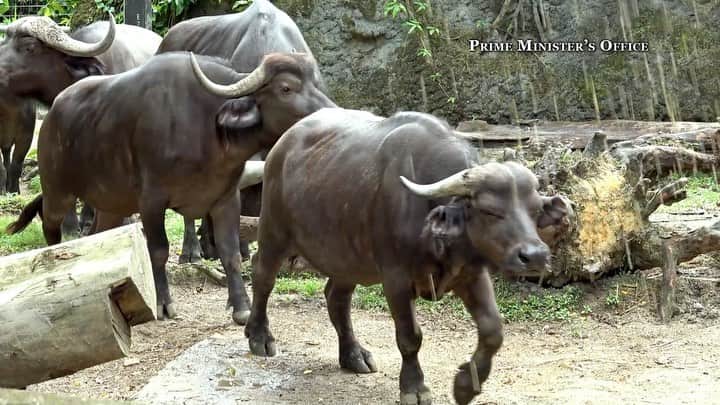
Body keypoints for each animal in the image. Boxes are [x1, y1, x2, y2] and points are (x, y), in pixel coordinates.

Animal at [6, 51, 336, 323]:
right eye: (286, 88)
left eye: (316, 82)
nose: (329, 112)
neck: (209, 128)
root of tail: (52, 114)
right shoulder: (152, 201)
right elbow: (158, 251)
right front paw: (163, 304)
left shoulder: (226, 199)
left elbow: (229, 252)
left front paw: (241, 307)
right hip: (58, 191)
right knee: (51, 226)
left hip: (110, 203)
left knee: (98, 233)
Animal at [243, 108, 569, 405]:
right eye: (489, 210)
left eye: (535, 210)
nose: (534, 255)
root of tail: (281, 147)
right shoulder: (395, 278)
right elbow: (410, 336)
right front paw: (415, 387)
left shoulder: (471, 272)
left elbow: (493, 330)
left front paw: (465, 386)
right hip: (274, 230)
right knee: (263, 275)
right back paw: (259, 337)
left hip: (347, 256)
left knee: (336, 298)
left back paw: (353, 355)